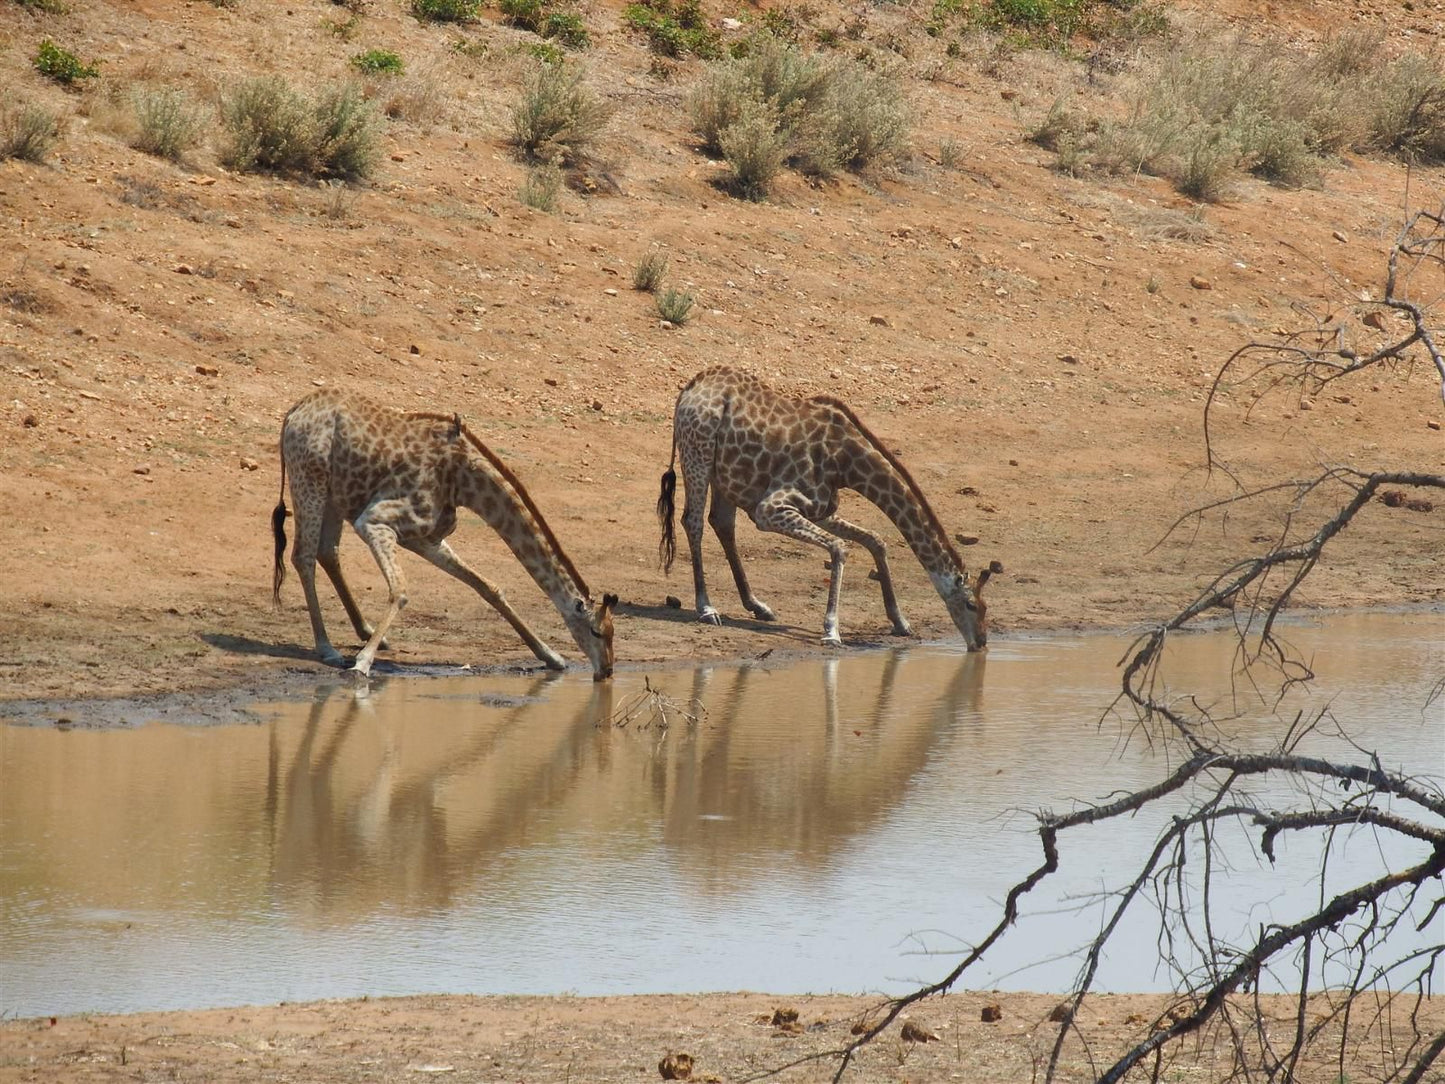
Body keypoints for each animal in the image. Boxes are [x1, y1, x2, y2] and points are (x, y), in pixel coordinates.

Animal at [271, 390, 615, 679]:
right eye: (597, 632)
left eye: (613, 632)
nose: (607, 671)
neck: (464, 481)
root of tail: (292, 413)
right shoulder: (375, 520)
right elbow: (401, 590)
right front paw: (362, 663)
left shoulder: (427, 539)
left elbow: (488, 587)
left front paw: (552, 656)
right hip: (309, 480)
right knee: (303, 556)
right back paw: (328, 648)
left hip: (335, 494)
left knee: (327, 551)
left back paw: (367, 631)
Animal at [658, 365, 1005, 653]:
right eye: (971, 605)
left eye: (987, 607)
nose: (981, 643)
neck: (847, 463)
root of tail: (689, 388)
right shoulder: (771, 509)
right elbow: (840, 548)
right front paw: (832, 631)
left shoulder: (822, 509)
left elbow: (875, 540)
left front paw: (900, 621)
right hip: (698, 454)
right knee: (693, 521)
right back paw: (707, 608)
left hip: (725, 476)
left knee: (721, 523)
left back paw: (758, 606)